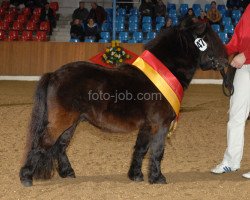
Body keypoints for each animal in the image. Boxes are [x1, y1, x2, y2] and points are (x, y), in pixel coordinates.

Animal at [20, 19, 229, 187]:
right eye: (210, 38)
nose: (226, 60)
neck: (161, 74)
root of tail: (54, 74)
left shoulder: (147, 126)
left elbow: (141, 149)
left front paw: (136, 175)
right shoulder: (160, 125)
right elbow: (157, 151)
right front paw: (157, 178)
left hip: (72, 123)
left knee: (60, 146)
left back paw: (67, 173)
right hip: (61, 121)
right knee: (43, 143)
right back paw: (26, 177)